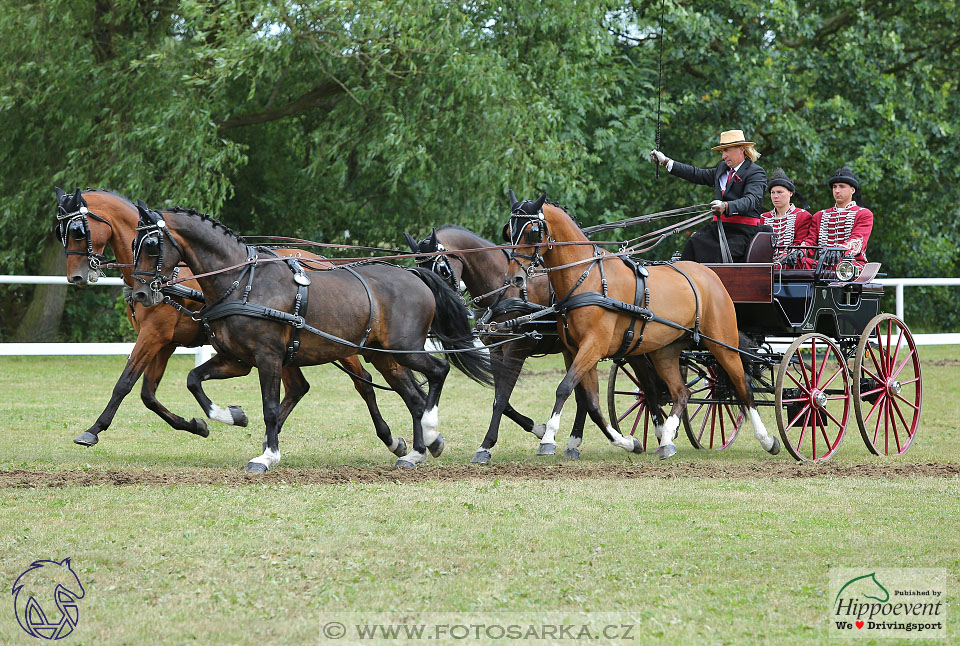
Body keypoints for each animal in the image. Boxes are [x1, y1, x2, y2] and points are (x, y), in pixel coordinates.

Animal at [53, 187, 412, 460]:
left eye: (78, 230)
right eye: (61, 233)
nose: (76, 277)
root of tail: (324, 262)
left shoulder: (155, 336)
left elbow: (125, 384)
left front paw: (93, 430)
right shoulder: (166, 342)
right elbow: (149, 394)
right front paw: (197, 425)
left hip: (339, 345)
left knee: (365, 383)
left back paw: (392, 439)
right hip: (292, 351)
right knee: (299, 387)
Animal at [128, 202, 496, 470]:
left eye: (151, 244)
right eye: (133, 243)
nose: (141, 294)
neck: (243, 281)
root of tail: (414, 274)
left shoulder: (267, 357)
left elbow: (270, 407)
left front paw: (267, 455)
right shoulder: (237, 359)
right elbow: (194, 379)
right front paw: (232, 416)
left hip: (403, 348)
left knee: (437, 373)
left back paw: (430, 432)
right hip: (383, 356)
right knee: (414, 397)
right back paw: (416, 452)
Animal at [502, 192, 780, 460]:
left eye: (532, 231)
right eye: (510, 231)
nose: (515, 278)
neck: (587, 279)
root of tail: (710, 274)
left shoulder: (593, 347)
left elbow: (564, 389)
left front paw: (548, 439)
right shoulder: (573, 350)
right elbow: (590, 402)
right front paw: (628, 442)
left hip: (723, 344)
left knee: (743, 385)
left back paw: (768, 440)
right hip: (665, 351)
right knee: (681, 392)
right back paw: (667, 439)